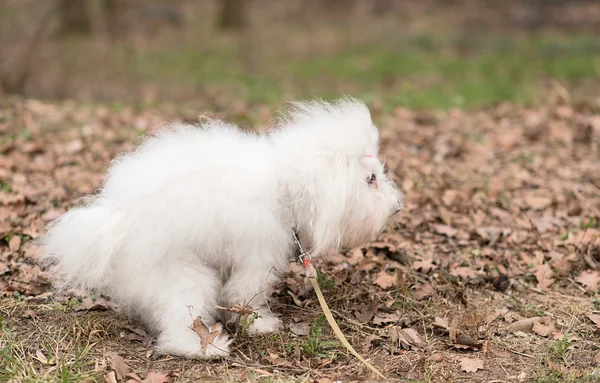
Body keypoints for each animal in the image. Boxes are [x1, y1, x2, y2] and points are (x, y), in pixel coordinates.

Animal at [41, 98, 404, 360]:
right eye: (370, 179)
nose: (397, 207)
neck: (285, 188)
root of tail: (118, 223)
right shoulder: (258, 257)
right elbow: (245, 295)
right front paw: (261, 325)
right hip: (182, 273)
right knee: (178, 324)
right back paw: (206, 348)